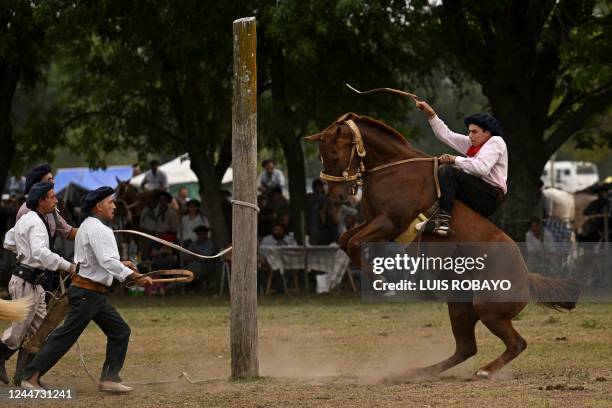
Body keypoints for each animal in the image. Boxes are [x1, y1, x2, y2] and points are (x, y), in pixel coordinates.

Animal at [306, 113, 584, 380]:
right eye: (322, 156)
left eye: (334, 156)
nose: (337, 197)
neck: (394, 170)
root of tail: (527, 276)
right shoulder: (373, 221)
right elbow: (346, 240)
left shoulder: (389, 222)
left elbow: (353, 242)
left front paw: (382, 282)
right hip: (460, 307)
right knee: (466, 348)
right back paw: (418, 372)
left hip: (488, 309)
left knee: (516, 343)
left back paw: (484, 371)